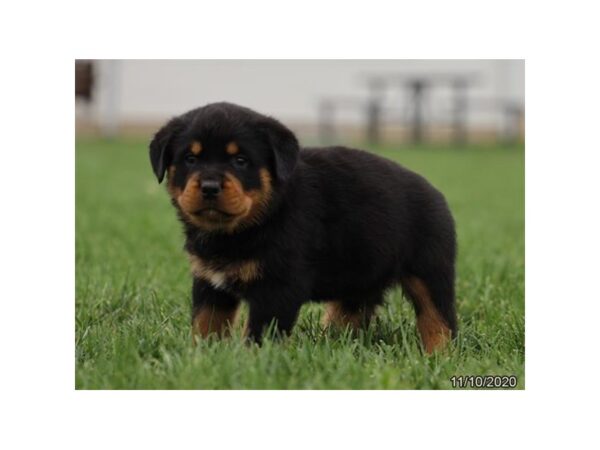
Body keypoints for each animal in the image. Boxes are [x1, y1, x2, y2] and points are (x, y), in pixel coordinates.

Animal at [149, 102, 454, 352]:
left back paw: (438, 354)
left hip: (430, 269)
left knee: (438, 318)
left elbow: (259, 336)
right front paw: (202, 357)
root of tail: (436, 193)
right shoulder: (209, 283)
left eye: (240, 161)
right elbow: (205, 325)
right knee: (350, 313)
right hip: (359, 278)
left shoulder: (277, 288)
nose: (210, 186)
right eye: (190, 159)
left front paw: (252, 363)